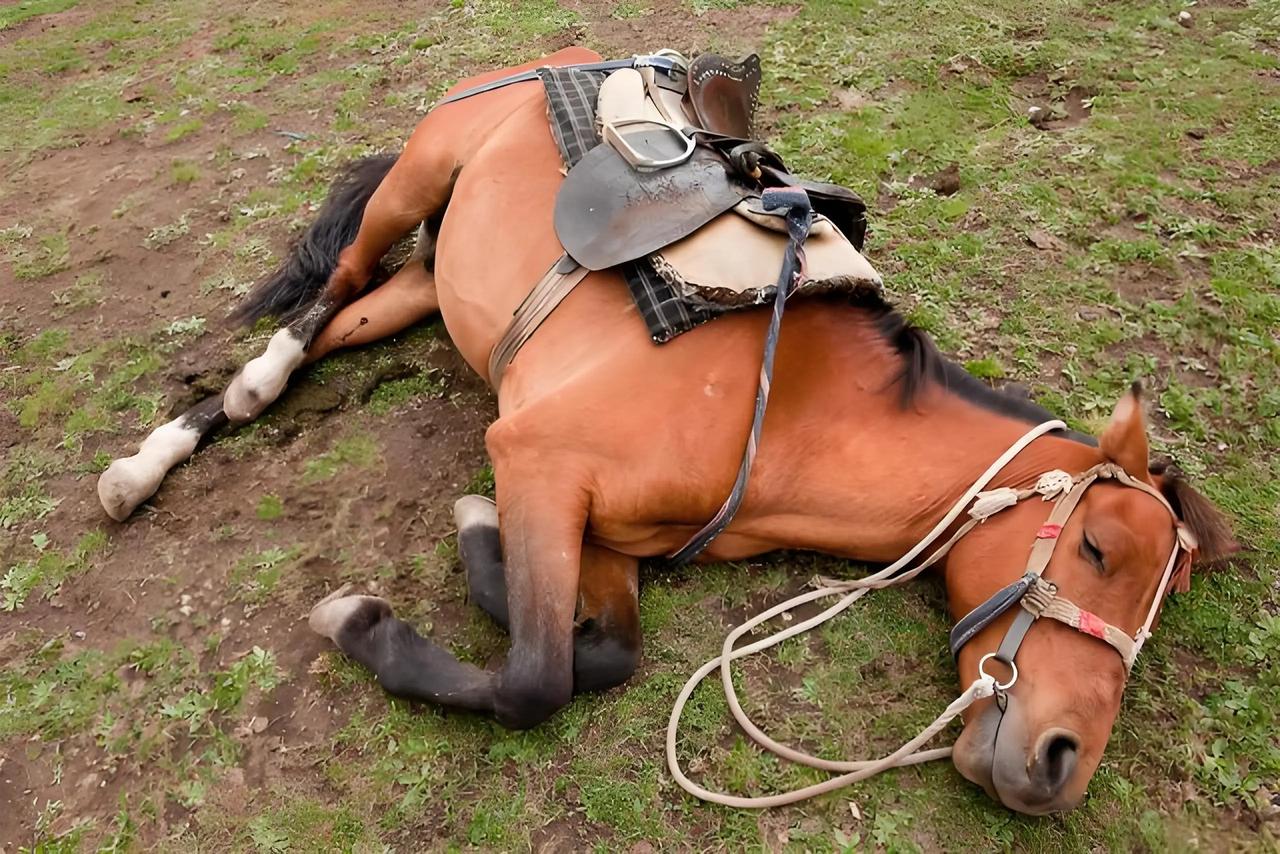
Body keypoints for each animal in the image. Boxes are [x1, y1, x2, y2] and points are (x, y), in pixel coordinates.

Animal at [96, 48, 1236, 815]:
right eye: (1098, 549)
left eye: (1156, 608)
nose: (1058, 763)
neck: (784, 412)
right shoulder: (538, 461)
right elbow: (536, 678)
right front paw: (359, 623)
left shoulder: (599, 530)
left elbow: (596, 648)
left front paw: (478, 540)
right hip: (416, 177)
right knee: (322, 295)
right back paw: (193, 431)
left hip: (434, 285)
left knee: (342, 319)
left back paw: (156, 457)